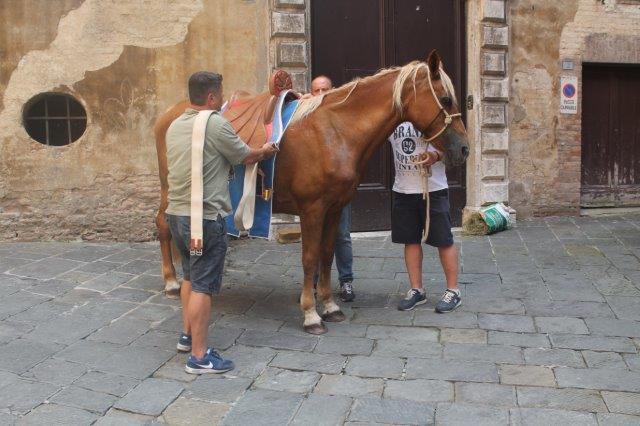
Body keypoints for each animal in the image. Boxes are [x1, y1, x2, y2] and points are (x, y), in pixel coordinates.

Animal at [154, 50, 469, 335]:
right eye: (445, 99)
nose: (464, 148)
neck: (334, 132)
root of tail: (171, 113)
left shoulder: (335, 208)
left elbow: (327, 255)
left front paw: (329, 305)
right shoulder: (312, 210)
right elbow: (309, 258)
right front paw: (310, 314)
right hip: (171, 190)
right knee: (163, 225)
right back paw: (171, 282)